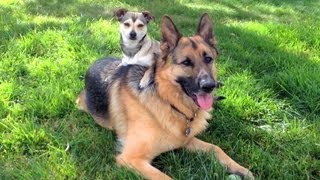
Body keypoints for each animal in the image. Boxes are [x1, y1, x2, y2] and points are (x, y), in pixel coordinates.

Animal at [77, 13, 252, 179]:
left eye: (208, 59)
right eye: (186, 62)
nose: (209, 86)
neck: (167, 100)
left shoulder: (186, 140)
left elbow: (216, 148)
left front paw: (241, 169)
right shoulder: (131, 159)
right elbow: (165, 178)